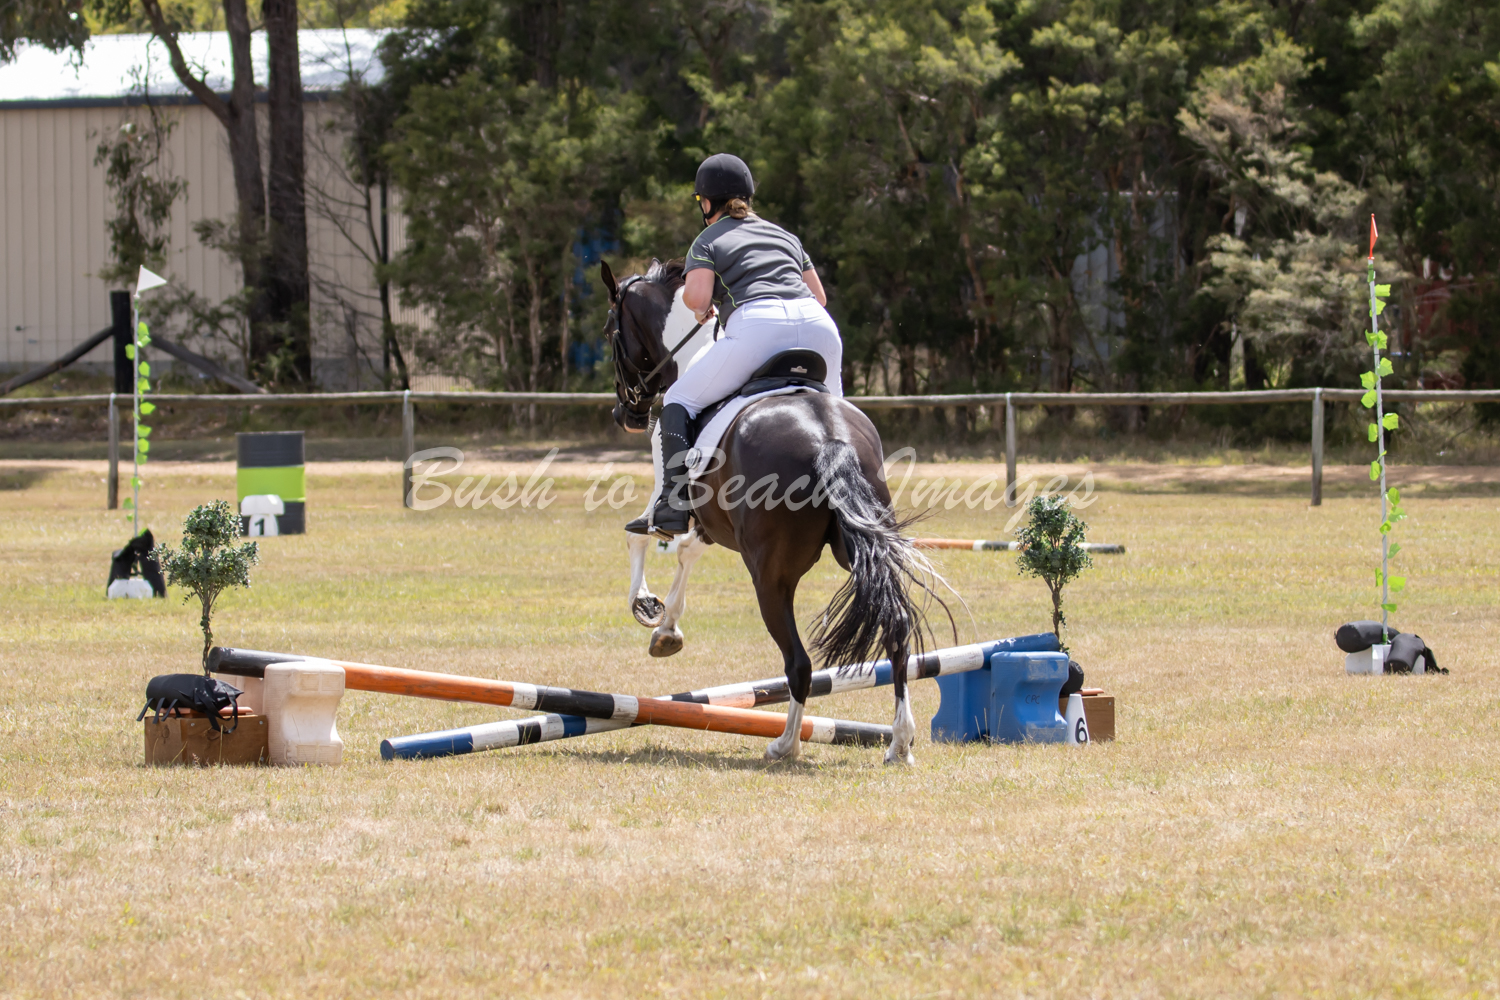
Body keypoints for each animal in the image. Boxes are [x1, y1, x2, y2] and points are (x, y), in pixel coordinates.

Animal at [601, 258, 945, 764]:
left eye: (611, 331)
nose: (625, 414)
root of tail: (828, 438)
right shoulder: (710, 521)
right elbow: (686, 552)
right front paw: (667, 629)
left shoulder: (674, 498)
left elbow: (641, 534)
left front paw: (647, 607)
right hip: (860, 547)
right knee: (896, 627)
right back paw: (899, 742)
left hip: (769, 574)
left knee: (798, 662)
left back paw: (785, 744)